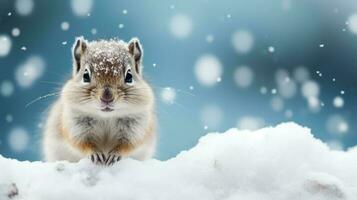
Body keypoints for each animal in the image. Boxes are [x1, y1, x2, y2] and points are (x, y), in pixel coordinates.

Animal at [42, 36, 156, 165]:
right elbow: (82, 143)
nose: (107, 97)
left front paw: (114, 155)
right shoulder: (75, 127)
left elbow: (127, 144)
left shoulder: (136, 128)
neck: (106, 117)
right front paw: (96, 154)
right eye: (85, 76)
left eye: (129, 77)